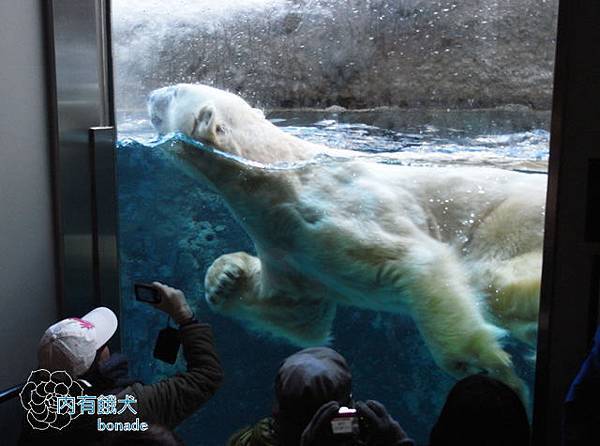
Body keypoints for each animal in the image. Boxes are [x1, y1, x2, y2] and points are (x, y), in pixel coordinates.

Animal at [149, 83, 544, 394]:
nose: (151, 94)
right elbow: (301, 312)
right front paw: (224, 278)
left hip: (508, 219)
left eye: (176, 92)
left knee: (492, 277)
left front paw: (479, 364)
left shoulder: (335, 210)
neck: (278, 177)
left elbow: (413, 259)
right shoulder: (287, 247)